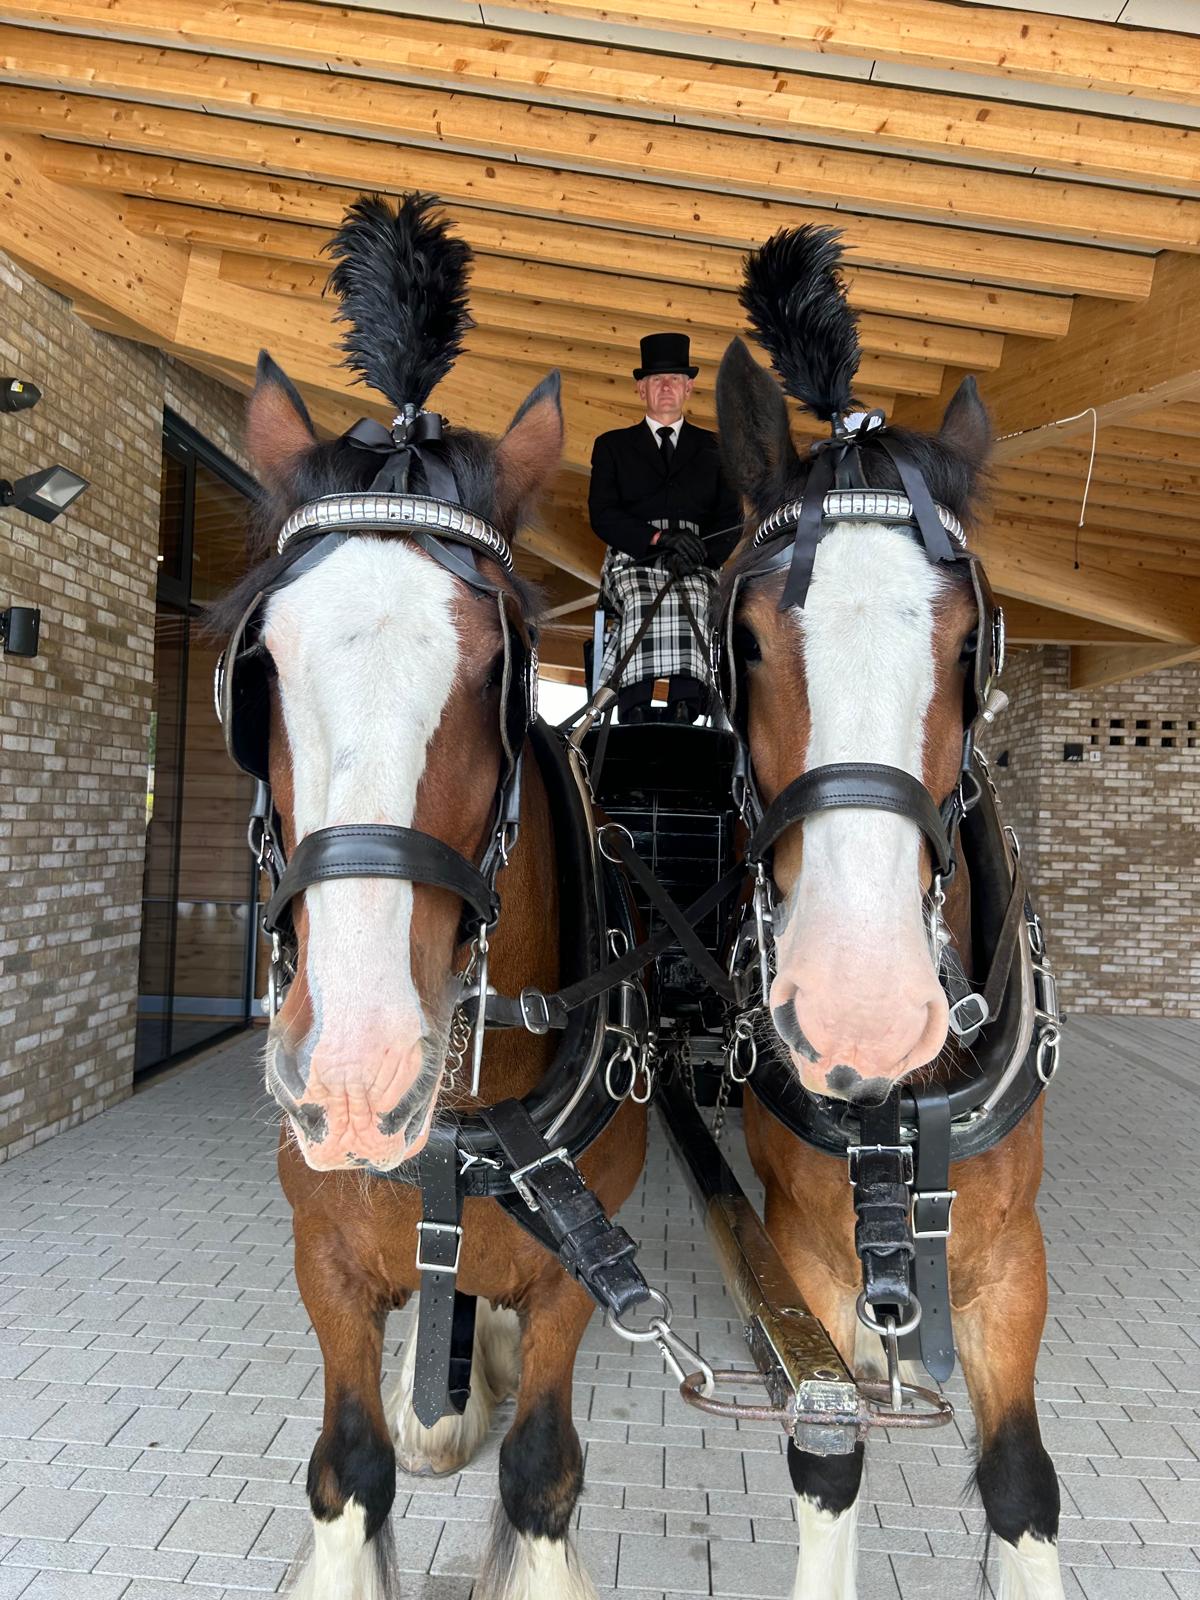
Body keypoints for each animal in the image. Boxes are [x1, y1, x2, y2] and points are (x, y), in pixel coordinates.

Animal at [211, 194, 646, 1600]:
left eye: (500, 677)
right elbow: (350, 1467)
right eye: (259, 669)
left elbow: (544, 1472)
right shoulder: (326, 1262)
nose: (358, 1073)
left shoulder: (574, 1274)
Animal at [713, 227, 1064, 1600]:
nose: (864, 1012)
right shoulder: (810, 1257)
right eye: (749, 639)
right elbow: (830, 1444)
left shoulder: (1008, 1262)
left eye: (973, 641)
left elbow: (1022, 1486)